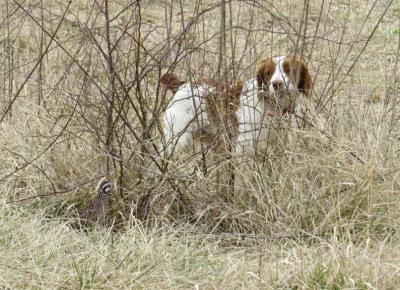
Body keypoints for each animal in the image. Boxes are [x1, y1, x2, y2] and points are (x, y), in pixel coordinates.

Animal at [159, 55, 312, 157]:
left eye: (289, 70)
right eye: (269, 72)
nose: (277, 84)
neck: (274, 108)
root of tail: (182, 85)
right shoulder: (244, 146)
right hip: (176, 139)